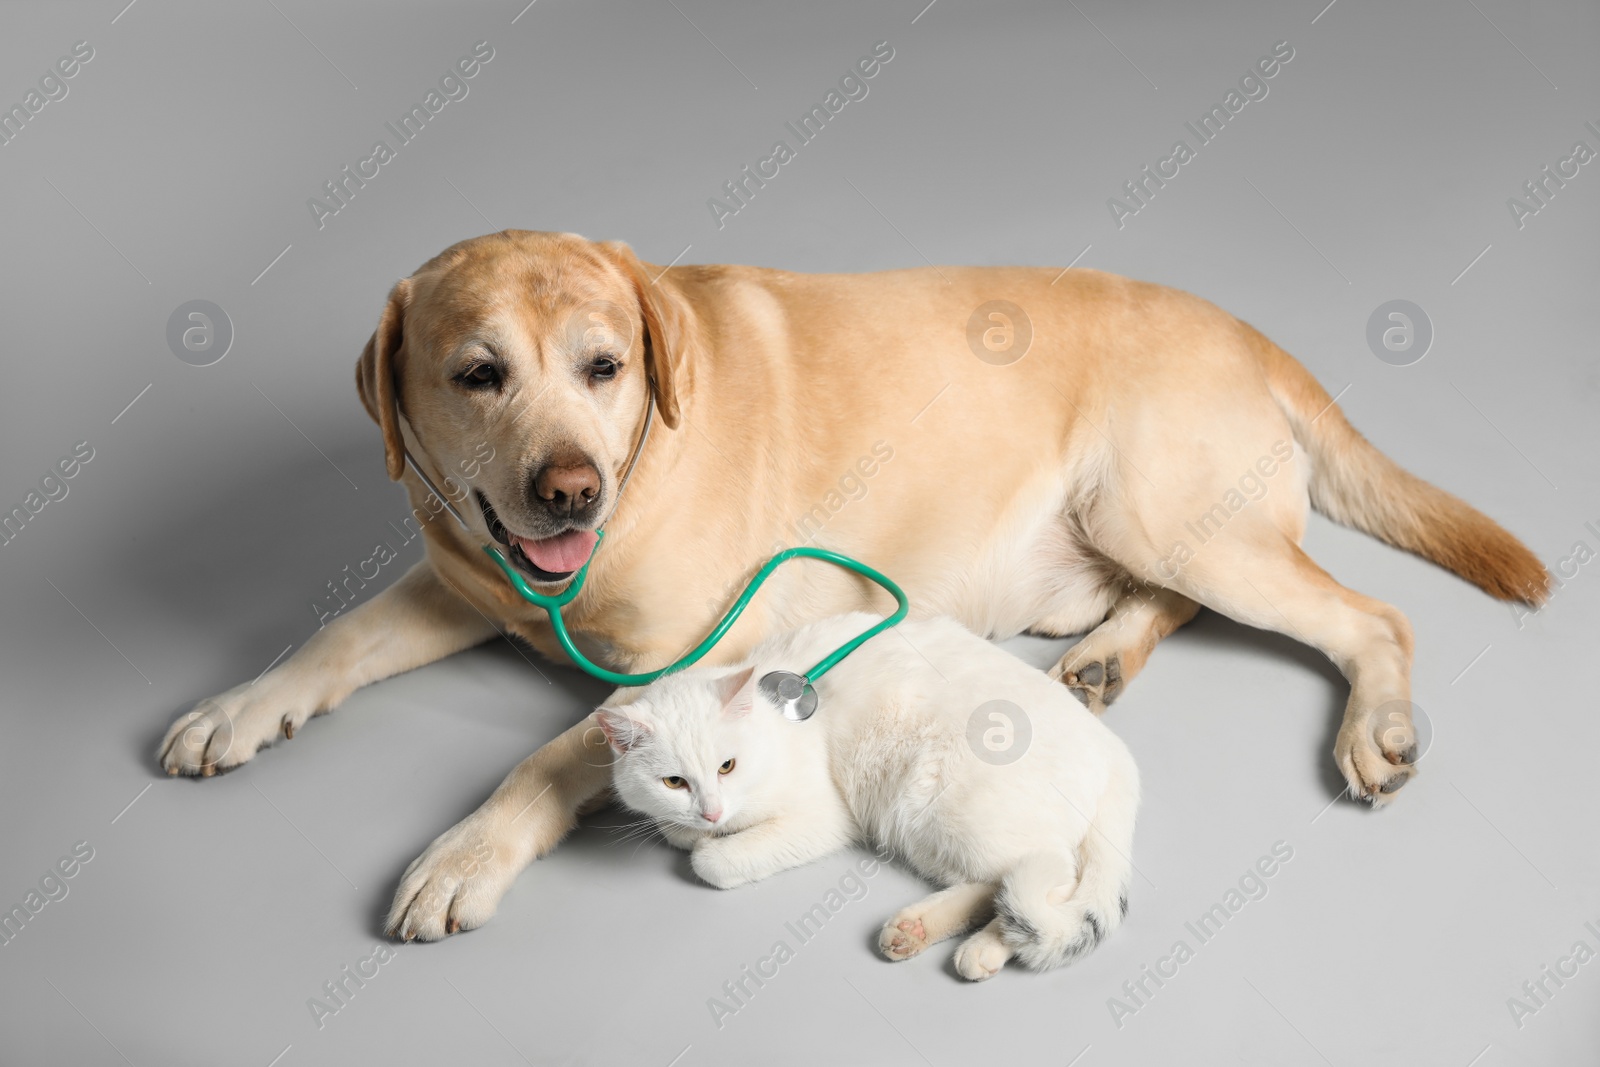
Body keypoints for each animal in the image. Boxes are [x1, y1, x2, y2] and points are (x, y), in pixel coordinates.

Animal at [156, 230, 1542, 940]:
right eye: (477, 373)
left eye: (605, 367)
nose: (569, 493)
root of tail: (1246, 329)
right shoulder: (458, 576)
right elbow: (334, 635)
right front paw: (237, 706)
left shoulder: (687, 664)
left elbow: (544, 757)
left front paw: (463, 853)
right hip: (1130, 540)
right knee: (1173, 601)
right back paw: (1102, 657)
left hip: (1162, 512)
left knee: (1365, 612)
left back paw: (1375, 724)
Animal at [598, 614, 1139, 979]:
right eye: (674, 782)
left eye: (727, 766)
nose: (710, 811)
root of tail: (1113, 753)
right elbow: (675, 829)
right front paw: (690, 829)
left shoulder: (826, 817)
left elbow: (709, 861)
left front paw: (709, 843)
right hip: (925, 828)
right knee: (995, 884)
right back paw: (919, 931)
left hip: (944, 806)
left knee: (1049, 874)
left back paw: (980, 947)